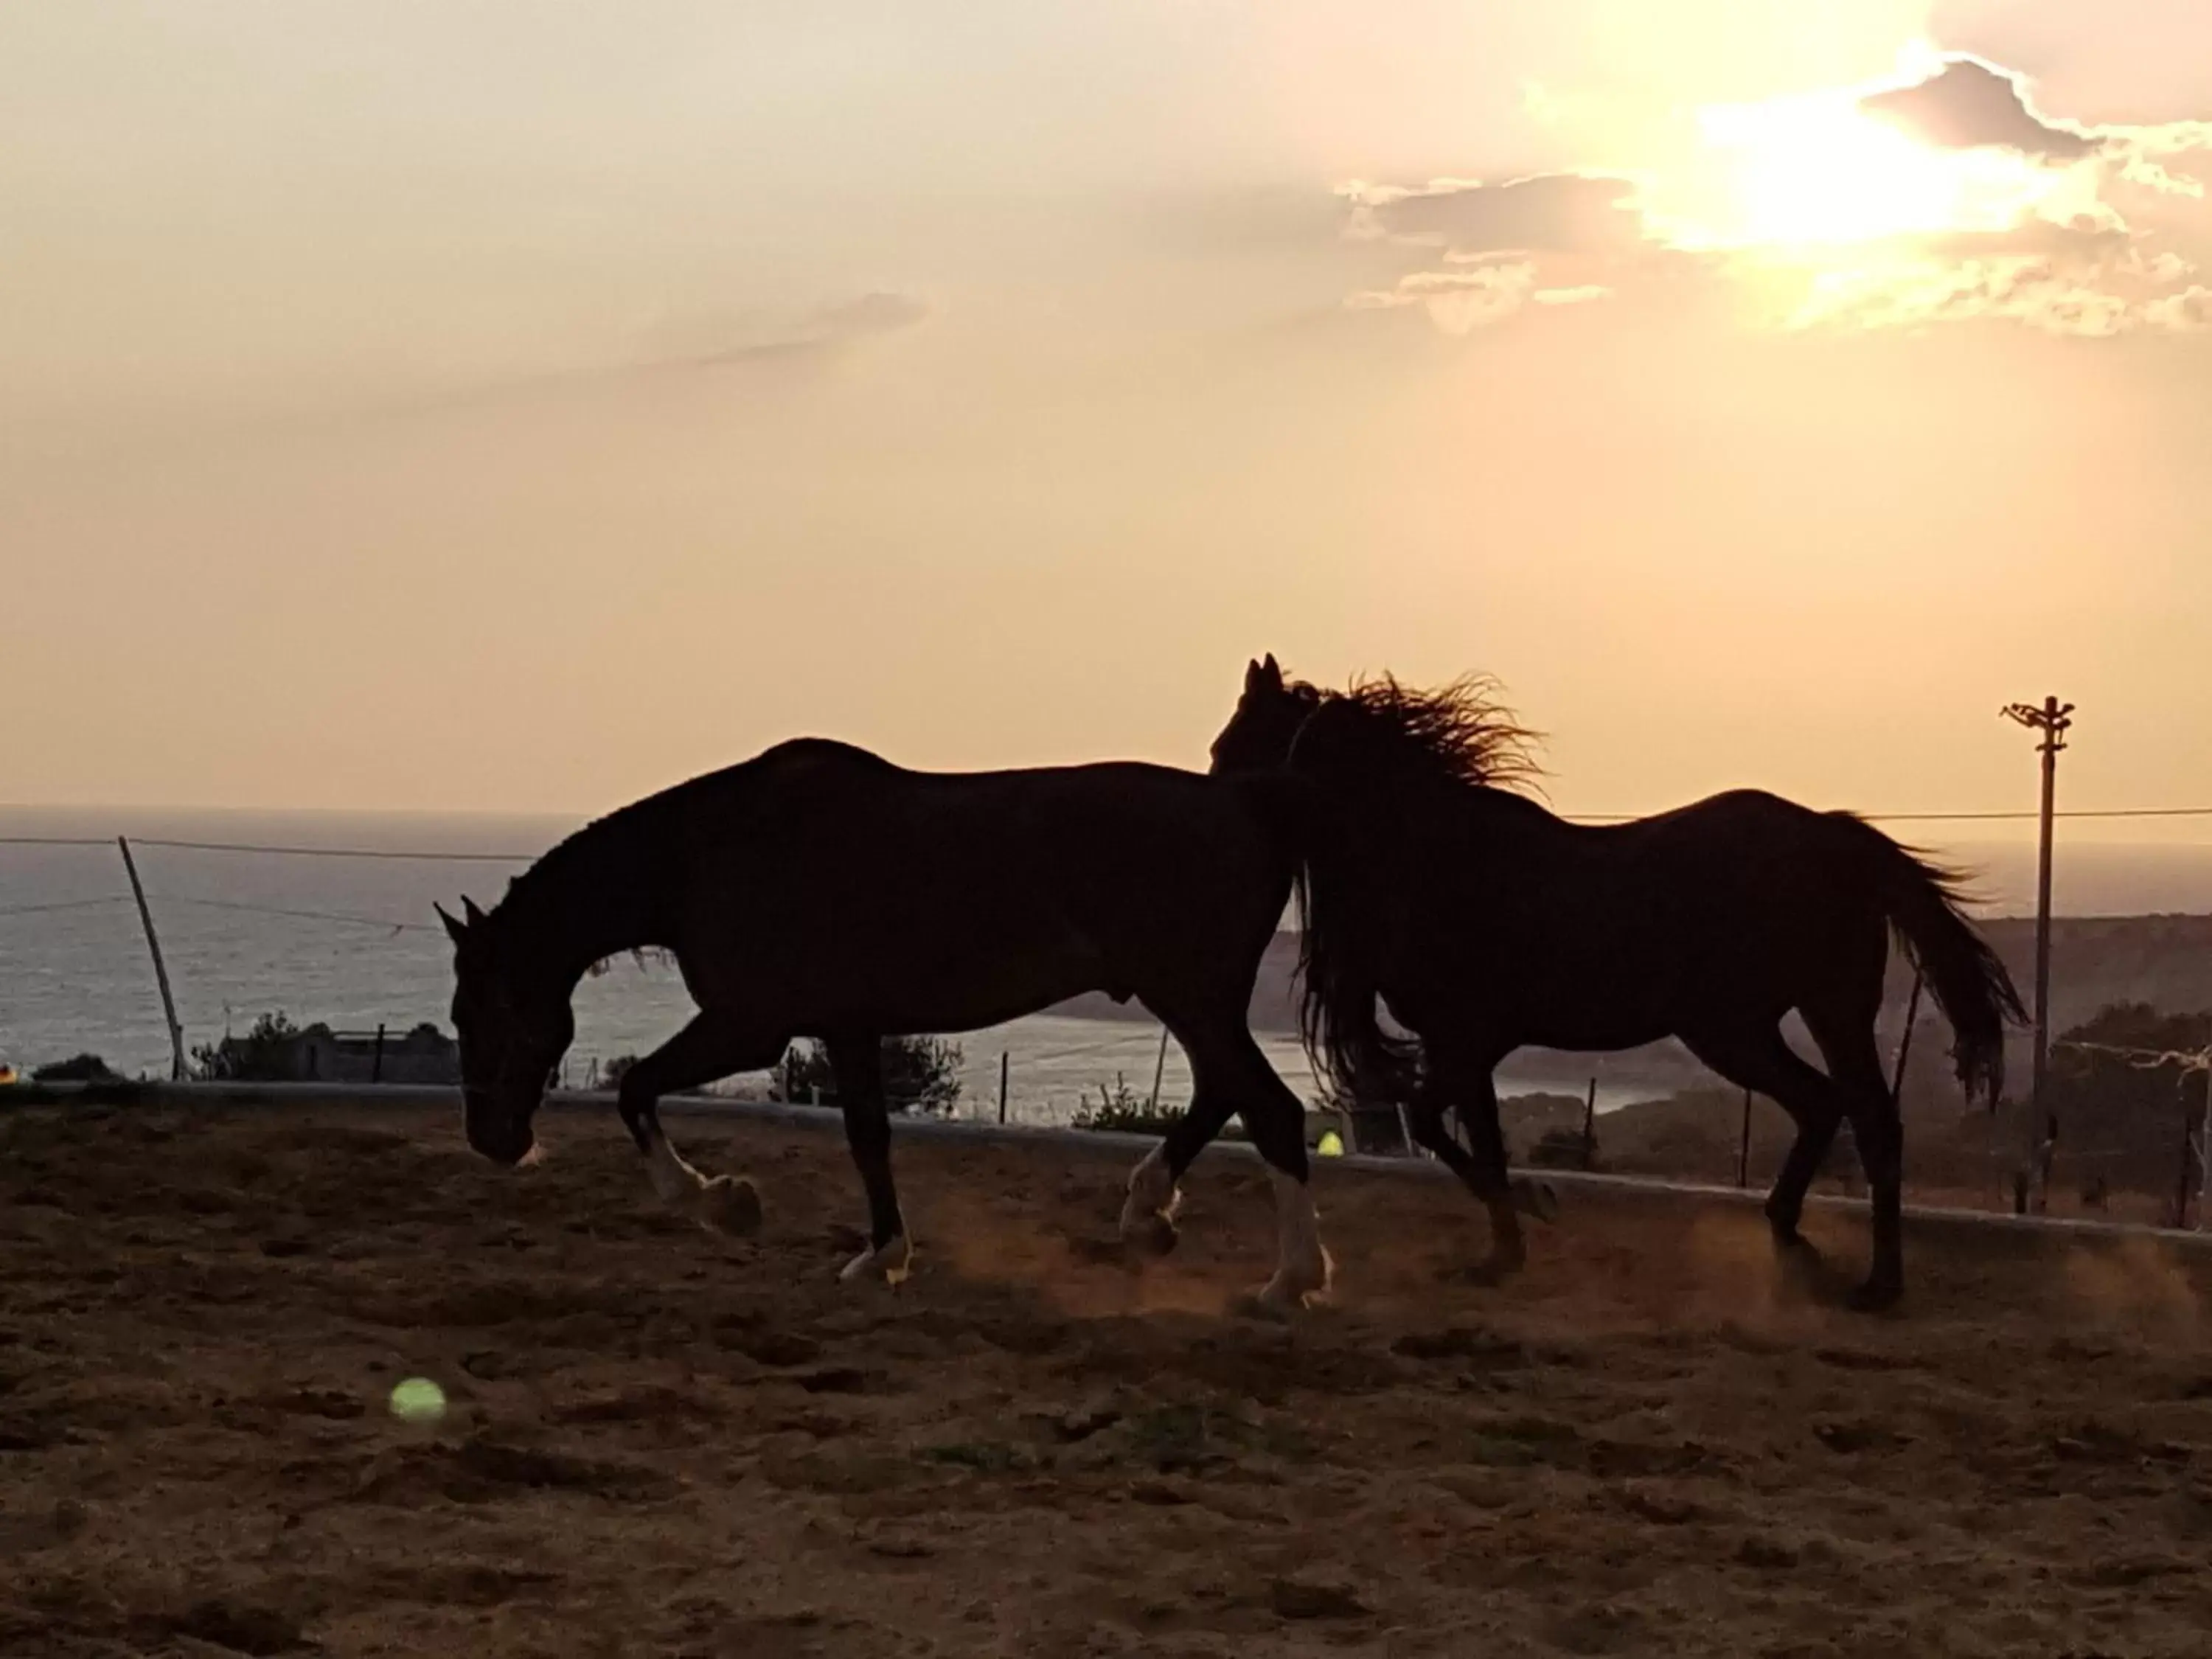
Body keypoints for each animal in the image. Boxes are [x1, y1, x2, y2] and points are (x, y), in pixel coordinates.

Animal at [434, 739, 1327, 1310]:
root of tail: (1247, 799)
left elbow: (637, 1090)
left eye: (483, 1010)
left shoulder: (750, 1024)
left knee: (1274, 1112)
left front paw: (719, 1199)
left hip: (1192, 999)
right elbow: (868, 1136)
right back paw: (1151, 1216)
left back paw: (1292, 1279)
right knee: (1226, 1096)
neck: (710, 853)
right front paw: (881, 1257)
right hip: (1197, 1004)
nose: (492, 1138)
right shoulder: (848, 1026)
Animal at [1212, 659, 2026, 1310]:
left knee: (1871, 1119)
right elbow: (1475, 1137)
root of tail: (1839, 836)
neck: (1437, 856)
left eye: (1230, 746)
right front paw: (1506, 1245)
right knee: (1824, 1106)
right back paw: (1786, 1229)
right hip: (1753, 1026)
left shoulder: (1465, 1039)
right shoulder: (1469, 1048)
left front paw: (1525, 1215)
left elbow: (1436, 1125)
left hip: (1798, 1018)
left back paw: (1877, 1284)